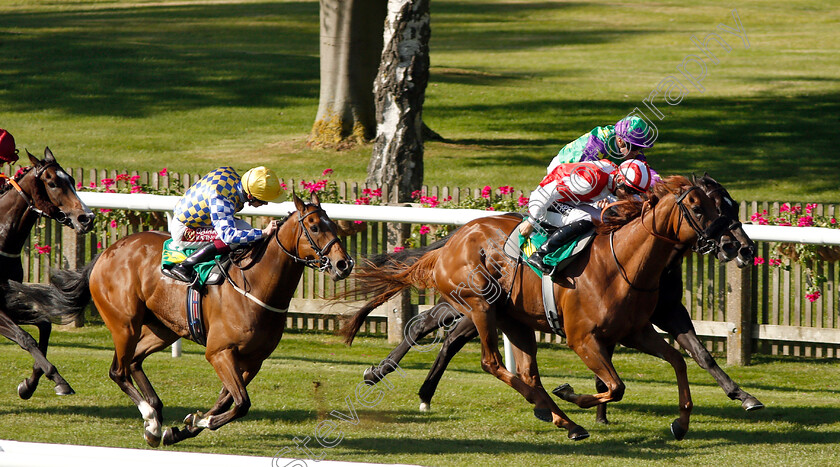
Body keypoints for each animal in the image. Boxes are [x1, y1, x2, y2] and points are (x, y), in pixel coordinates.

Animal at [0, 149, 95, 398]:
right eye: (52, 183)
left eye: (71, 180)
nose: (86, 218)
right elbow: (25, 337)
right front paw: (59, 379)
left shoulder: (6, 300)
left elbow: (44, 324)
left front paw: (29, 384)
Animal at [35, 193, 352, 446]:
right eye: (314, 227)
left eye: (335, 226)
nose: (343, 264)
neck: (255, 284)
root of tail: (107, 252)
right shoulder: (219, 352)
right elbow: (241, 403)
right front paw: (198, 421)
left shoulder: (253, 360)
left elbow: (227, 400)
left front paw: (184, 427)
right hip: (125, 324)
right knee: (118, 371)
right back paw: (150, 417)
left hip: (164, 329)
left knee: (134, 361)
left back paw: (155, 417)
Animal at [338, 176, 724, 442]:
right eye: (699, 208)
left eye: (719, 207)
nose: (726, 242)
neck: (622, 264)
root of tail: (455, 239)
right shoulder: (583, 339)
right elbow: (616, 387)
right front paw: (570, 393)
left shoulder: (636, 332)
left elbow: (678, 361)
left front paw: (681, 422)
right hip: (480, 306)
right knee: (490, 361)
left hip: (515, 320)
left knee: (525, 372)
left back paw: (564, 421)